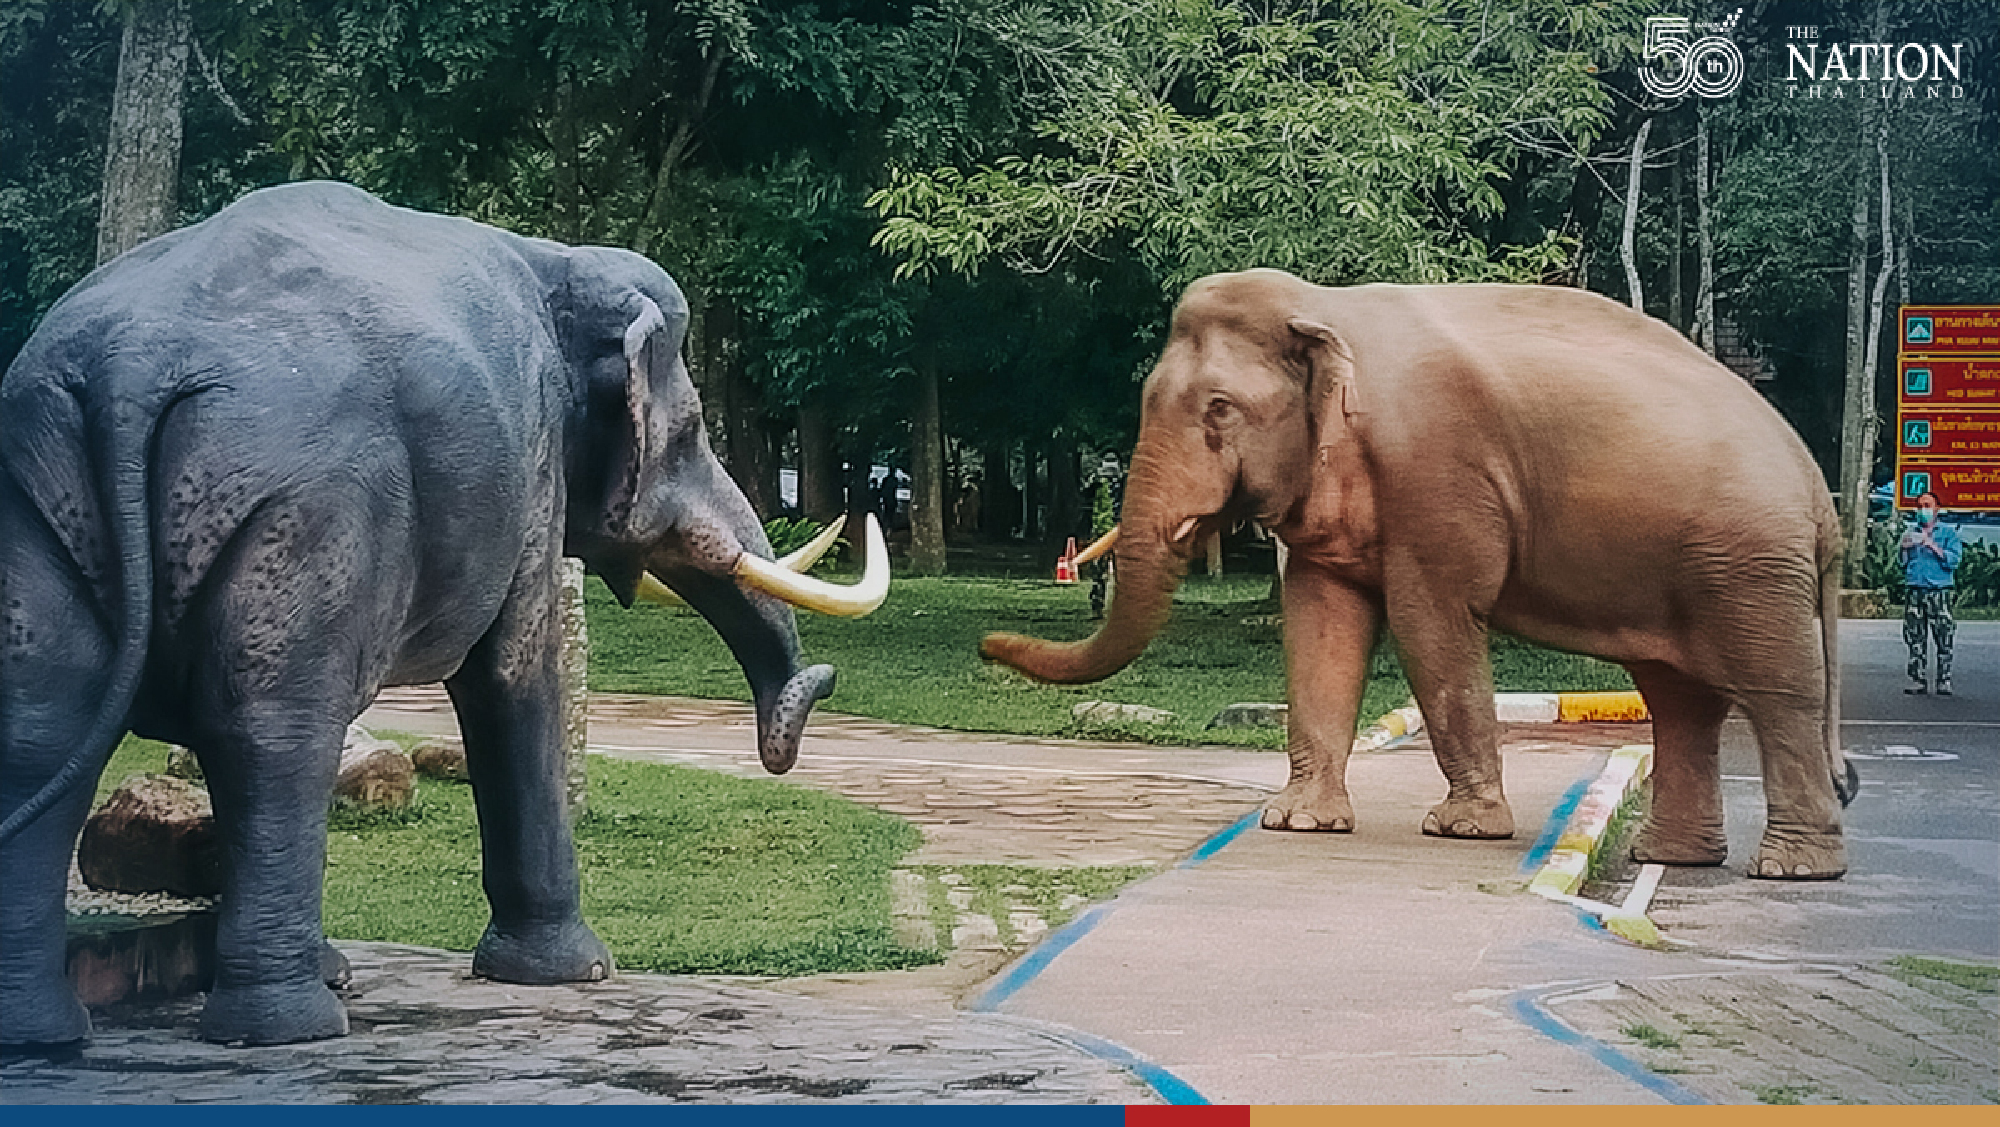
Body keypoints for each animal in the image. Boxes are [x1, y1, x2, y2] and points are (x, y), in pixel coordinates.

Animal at [0, 181, 887, 1047]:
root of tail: (130, 368)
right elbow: (515, 672)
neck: (554, 259)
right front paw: (577, 972)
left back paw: (50, 1035)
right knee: (273, 728)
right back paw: (290, 1028)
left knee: (48, 723)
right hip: (306, 508)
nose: (817, 686)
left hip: (46, 493)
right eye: (694, 430)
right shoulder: (531, 465)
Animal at [984, 268, 1853, 882]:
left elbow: (1432, 619)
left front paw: (1461, 827)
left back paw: (1790, 868)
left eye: (1220, 408)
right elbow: (1321, 624)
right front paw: (1299, 821)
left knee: (1778, 694)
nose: (991, 644)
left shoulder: (1438, 473)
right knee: (1682, 701)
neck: (1325, 307)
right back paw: (1669, 858)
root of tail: (1821, 496)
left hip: (1749, 565)